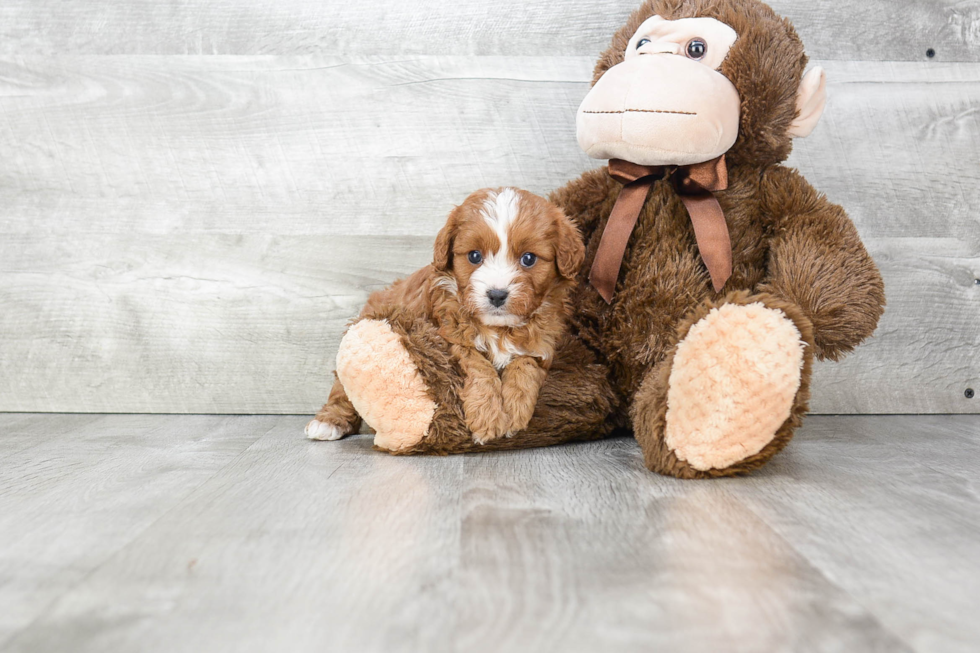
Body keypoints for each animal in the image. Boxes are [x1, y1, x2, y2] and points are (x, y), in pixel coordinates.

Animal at [306, 186, 580, 446]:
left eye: (528, 259)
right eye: (474, 256)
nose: (497, 295)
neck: (500, 328)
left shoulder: (542, 344)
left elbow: (525, 366)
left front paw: (514, 412)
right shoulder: (449, 339)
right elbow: (478, 366)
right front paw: (487, 420)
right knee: (341, 390)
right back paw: (328, 422)